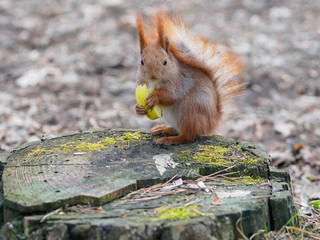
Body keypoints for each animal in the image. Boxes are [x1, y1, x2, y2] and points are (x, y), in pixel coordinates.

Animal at [135, 10, 245, 145]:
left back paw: (169, 139)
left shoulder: (180, 82)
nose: (153, 76)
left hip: (189, 110)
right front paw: (138, 109)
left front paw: (154, 97)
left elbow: (171, 95)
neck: (155, 83)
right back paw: (164, 129)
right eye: (142, 62)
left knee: (188, 136)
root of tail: (213, 121)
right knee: (179, 130)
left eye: (165, 61)